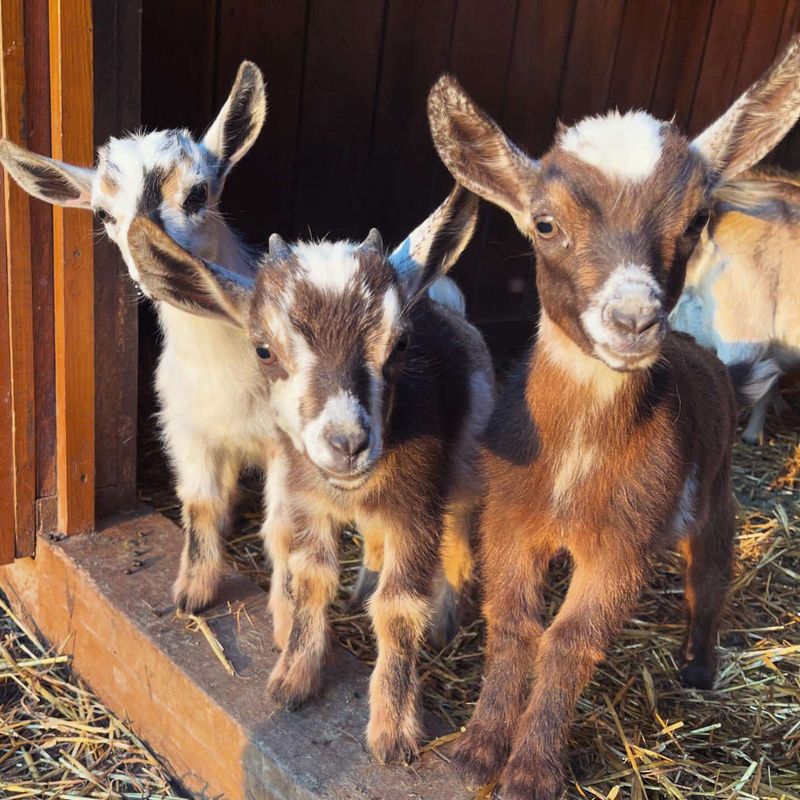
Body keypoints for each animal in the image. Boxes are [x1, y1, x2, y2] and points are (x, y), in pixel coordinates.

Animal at [125, 184, 494, 764]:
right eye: (263, 349)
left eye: (400, 345)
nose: (347, 443)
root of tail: (447, 306)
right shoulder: (308, 503)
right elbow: (310, 579)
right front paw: (293, 681)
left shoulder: (413, 510)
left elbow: (398, 609)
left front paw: (393, 734)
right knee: (372, 538)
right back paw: (362, 588)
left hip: (464, 458)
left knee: (459, 525)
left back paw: (444, 619)